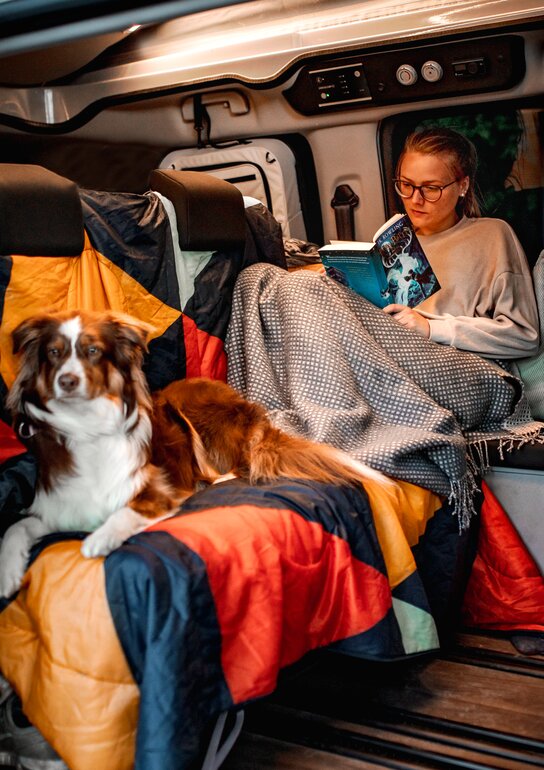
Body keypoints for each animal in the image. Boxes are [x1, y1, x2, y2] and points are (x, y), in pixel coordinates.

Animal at [0, 308, 388, 596]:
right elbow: (15, 527)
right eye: (54, 353)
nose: (67, 381)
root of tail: (250, 409)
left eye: (93, 351)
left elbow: (125, 511)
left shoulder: (158, 491)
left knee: (233, 467)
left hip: (184, 408)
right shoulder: (57, 507)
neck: (87, 426)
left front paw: (99, 538)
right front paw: (8, 574)